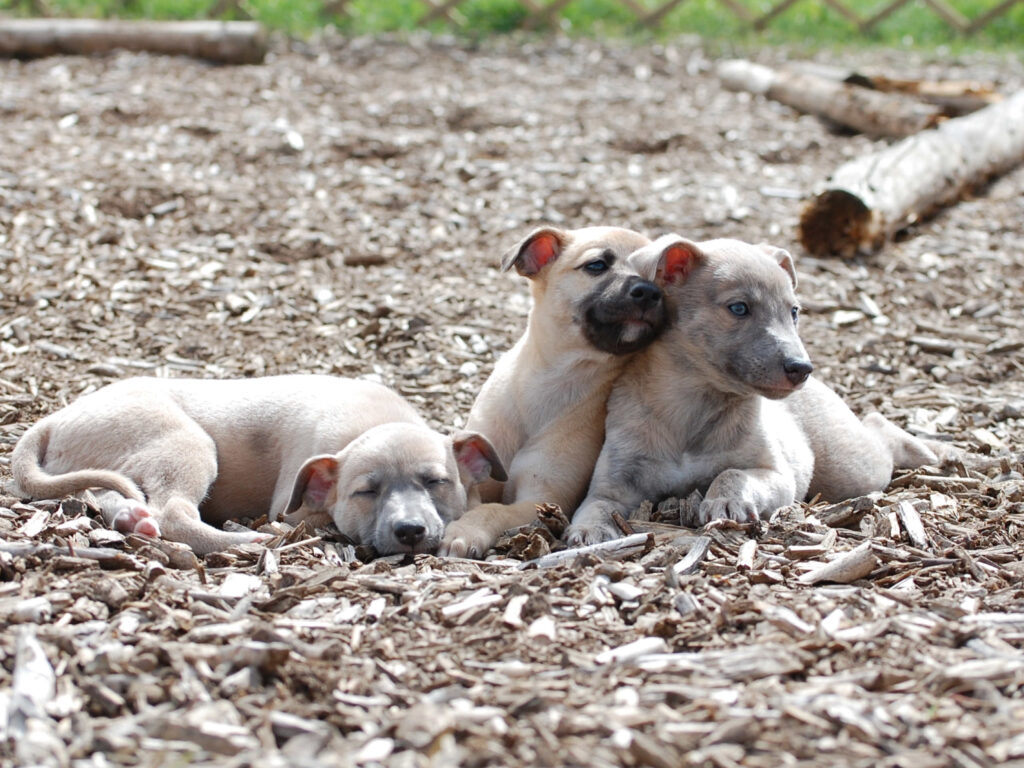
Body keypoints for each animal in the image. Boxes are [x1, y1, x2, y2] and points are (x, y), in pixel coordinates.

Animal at [9, 375, 505, 556]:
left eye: (437, 481)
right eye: (366, 492)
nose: (410, 532)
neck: (376, 422)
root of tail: (55, 418)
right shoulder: (294, 505)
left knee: (106, 493)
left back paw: (135, 519)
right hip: (186, 444)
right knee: (174, 514)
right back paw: (246, 540)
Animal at [438, 226, 668, 558]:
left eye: (658, 274)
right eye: (596, 265)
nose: (649, 291)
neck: (551, 381)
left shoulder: (541, 498)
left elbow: (491, 510)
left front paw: (465, 530)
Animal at [566, 235, 950, 545]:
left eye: (793, 312)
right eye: (739, 308)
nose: (801, 368)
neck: (693, 405)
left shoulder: (778, 476)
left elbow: (732, 473)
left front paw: (724, 502)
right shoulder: (616, 481)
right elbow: (596, 505)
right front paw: (587, 532)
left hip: (851, 468)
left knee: (876, 428)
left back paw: (933, 451)